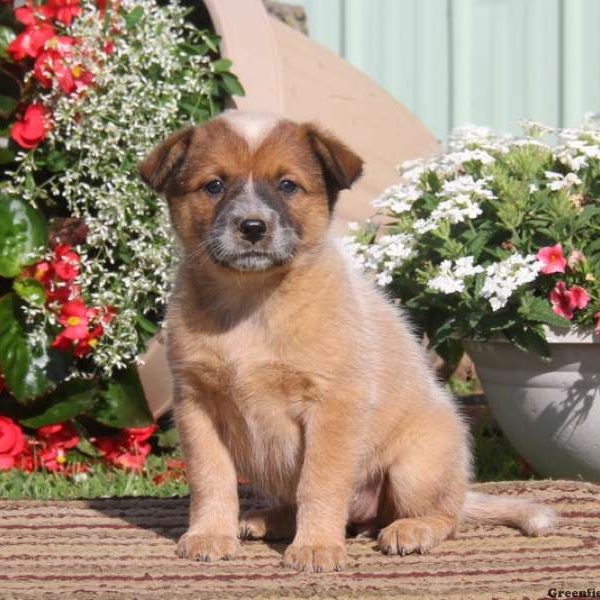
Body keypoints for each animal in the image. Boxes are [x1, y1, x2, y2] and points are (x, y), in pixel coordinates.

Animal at [138, 110, 556, 576]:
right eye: (214, 185)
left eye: (287, 185)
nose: (252, 227)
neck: (251, 304)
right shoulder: (197, 404)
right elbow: (212, 479)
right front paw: (211, 534)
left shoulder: (332, 405)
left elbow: (319, 482)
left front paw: (317, 546)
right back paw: (269, 520)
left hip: (415, 469)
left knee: (447, 516)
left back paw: (411, 529)